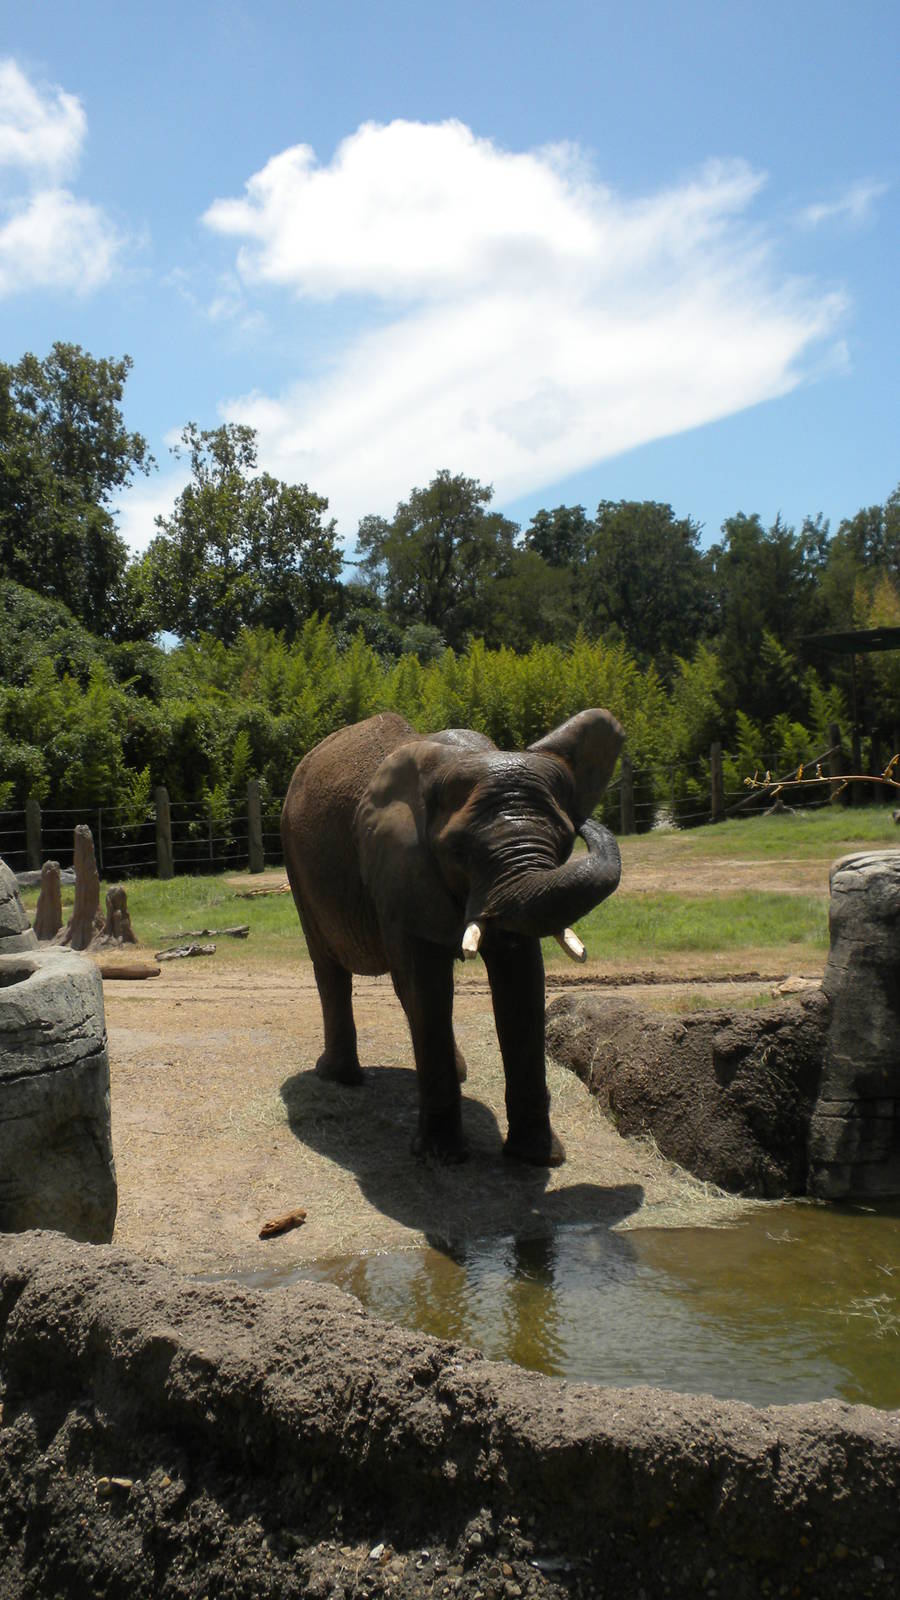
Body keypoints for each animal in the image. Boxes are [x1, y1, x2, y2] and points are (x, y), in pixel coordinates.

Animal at [280, 707, 624, 1166]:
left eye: (564, 838)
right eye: (458, 849)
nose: (591, 825)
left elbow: (521, 980)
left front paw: (536, 1158)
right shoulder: (397, 865)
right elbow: (425, 983)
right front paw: (442, 1158)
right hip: (297, 868)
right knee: (331, 968)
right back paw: (338, 1077)